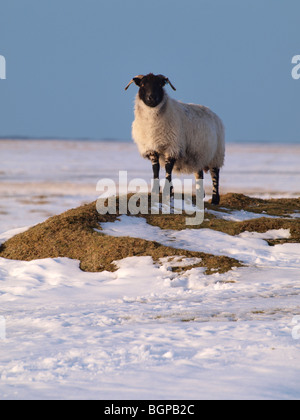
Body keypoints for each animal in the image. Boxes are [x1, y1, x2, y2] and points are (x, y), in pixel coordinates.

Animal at [124, 73, 225, 204]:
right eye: (142, 84)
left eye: (160, 84)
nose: (152, 98)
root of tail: (214, 114)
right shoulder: (151, 148)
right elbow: (155, 169)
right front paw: (156, 191)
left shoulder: (172, 146)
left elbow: (168, 169)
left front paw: (167, 192)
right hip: (199, 156)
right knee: (199, 175)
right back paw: (199, 195)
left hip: (216, 155)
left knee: (215, 175)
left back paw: (214, 199)